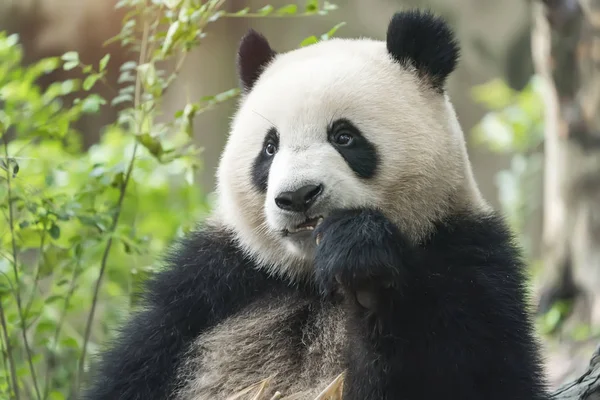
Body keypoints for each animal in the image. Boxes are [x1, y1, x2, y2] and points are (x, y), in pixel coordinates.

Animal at [83, 9, 548, 400]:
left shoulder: (467, 261)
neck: (310, 279)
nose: (297, 196)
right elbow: (135, 367)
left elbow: (470, 373)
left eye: (344, 137)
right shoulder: (211, 283)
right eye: (270, 148)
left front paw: (364, 269)